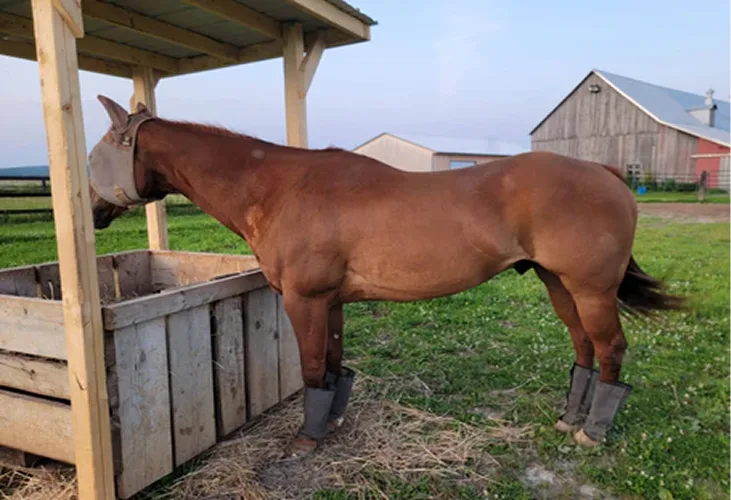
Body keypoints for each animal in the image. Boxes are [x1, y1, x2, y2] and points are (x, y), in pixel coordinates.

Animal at [88, 96, 685, 457]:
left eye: (94, 155)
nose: (91, 213)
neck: (276, 187)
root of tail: (605, 172)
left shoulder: (305, 299)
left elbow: (311, 368)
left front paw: (306, 439)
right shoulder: (330, 302)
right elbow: (332, 367)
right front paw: (329, 423)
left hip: (590, 288)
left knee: (610, 350)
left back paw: (592, 432)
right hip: (558, 283)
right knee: (584, 348)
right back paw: (568, 419)